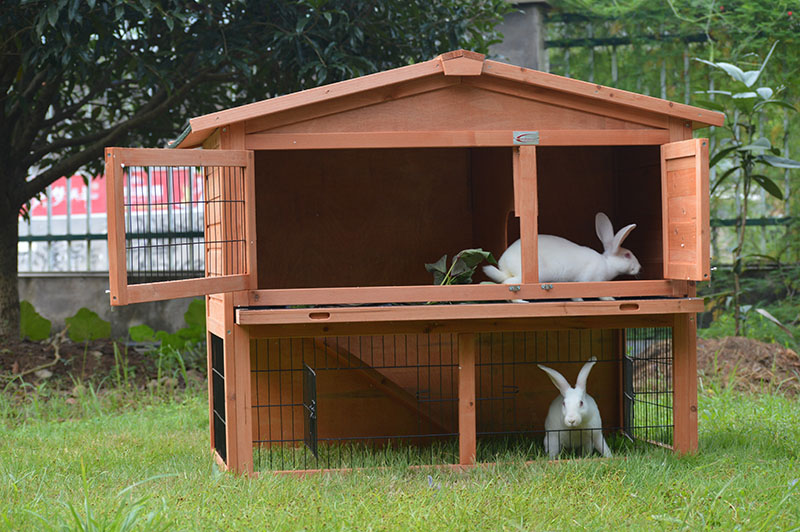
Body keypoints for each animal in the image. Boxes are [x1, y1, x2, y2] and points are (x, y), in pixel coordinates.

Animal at [482, 212, 641, 301]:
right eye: (627, 255)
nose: (639, 267)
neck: (607, 263)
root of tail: (505, 266)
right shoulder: (591, 281)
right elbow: (597, 294)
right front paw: (610, 298)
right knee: (509, 285)